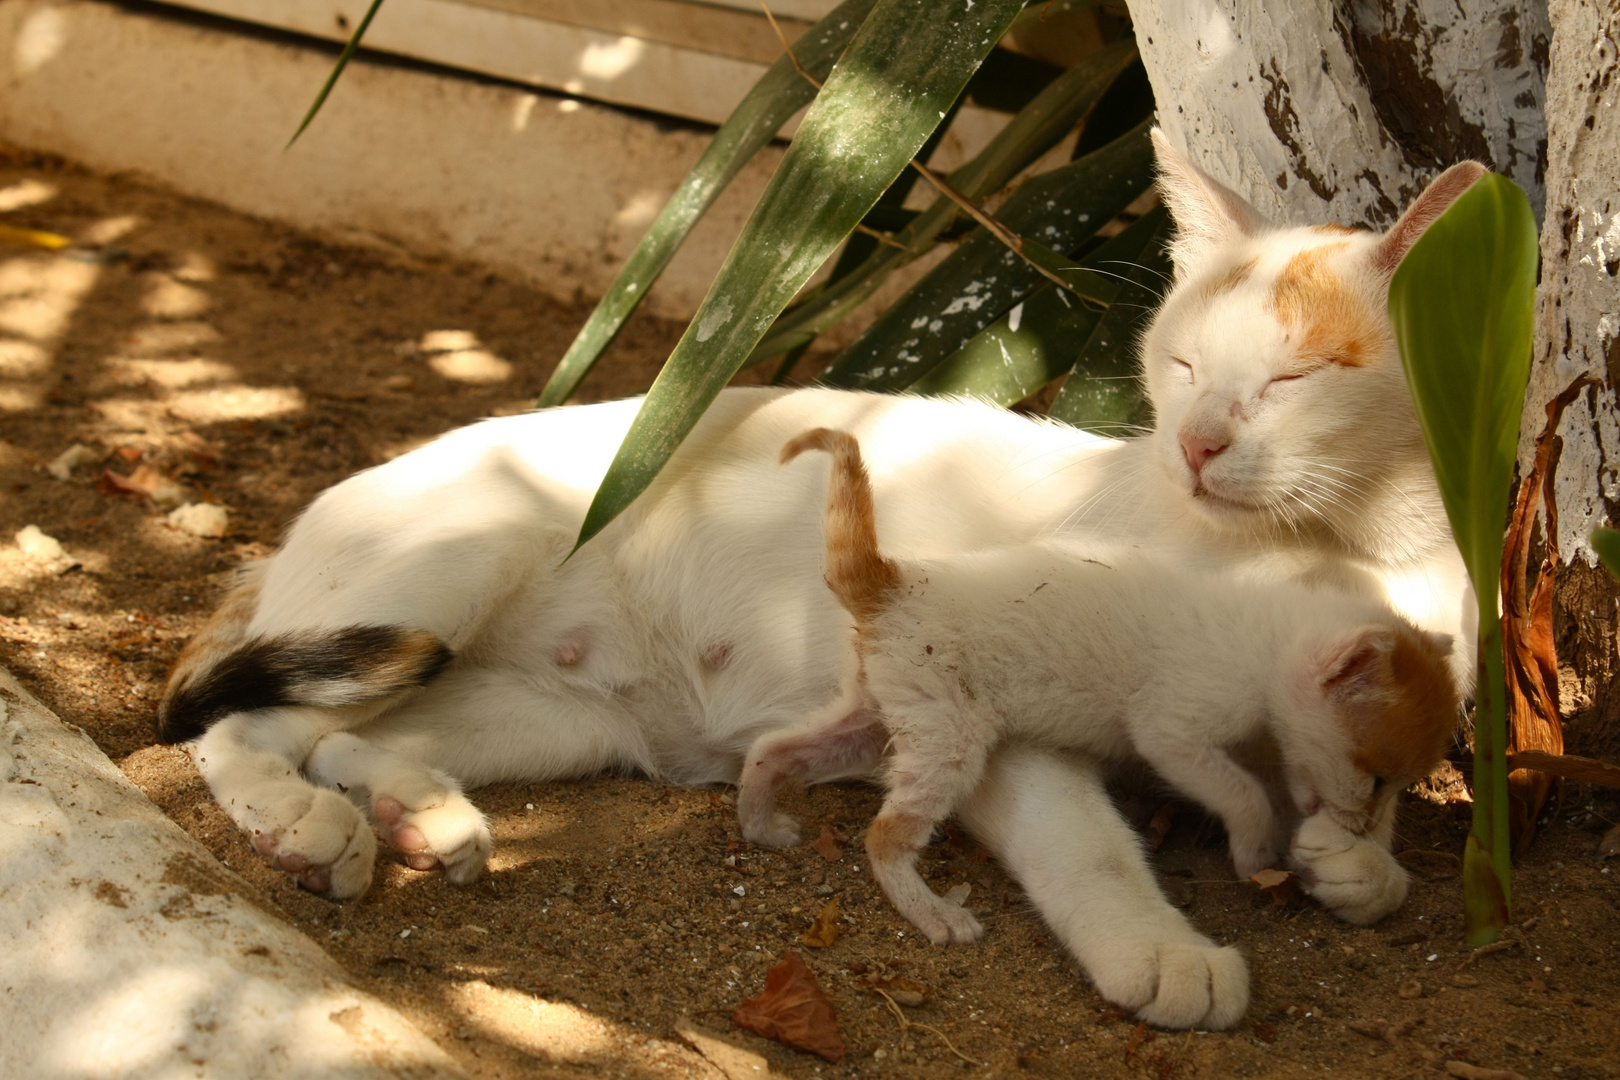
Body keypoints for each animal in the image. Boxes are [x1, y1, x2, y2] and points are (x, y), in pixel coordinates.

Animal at [735, 427, 1458, 965]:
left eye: (1398, 786)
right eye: (1377, 779)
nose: (1366, 827)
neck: (1271, 627)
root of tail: (894, 579)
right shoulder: (1171, 727)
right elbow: (1241, 793)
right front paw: (1255, 854)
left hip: (878, 715)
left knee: (773, 748)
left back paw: (760, 822)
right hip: (947, 738)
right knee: (883, 836)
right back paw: (935, 914)